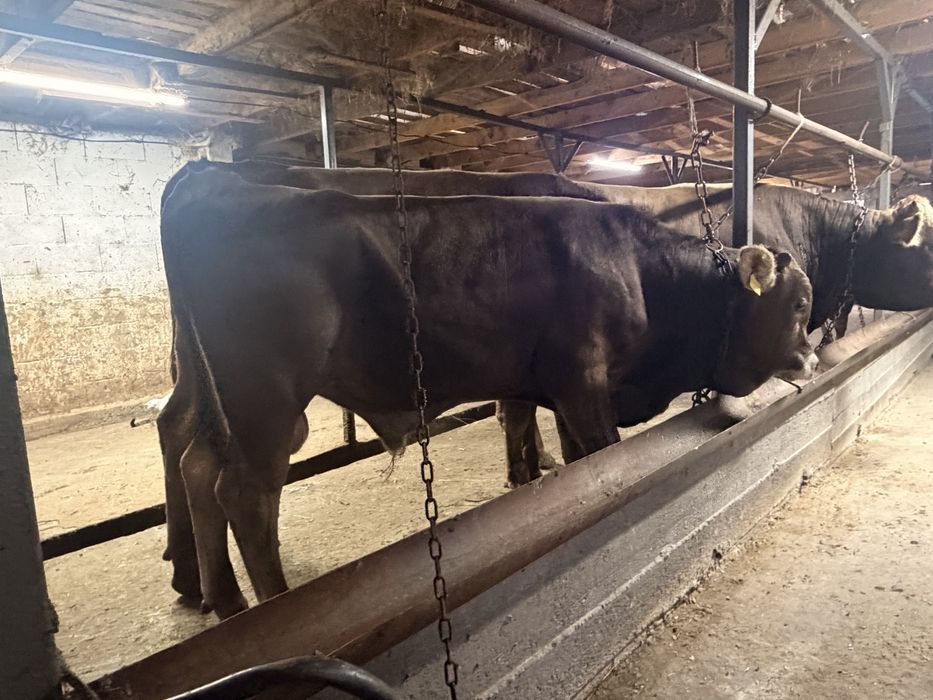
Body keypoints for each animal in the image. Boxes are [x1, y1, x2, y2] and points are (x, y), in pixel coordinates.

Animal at [159, 164, 816, 617]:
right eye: (800, 304)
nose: (811, 356)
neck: (639, 269)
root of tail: (211, 180)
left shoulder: (559, 390)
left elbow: (568, 454)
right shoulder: (583, 383)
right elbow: (602, 456)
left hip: (222, 401)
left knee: (197, 466)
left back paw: (224, 600)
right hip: (264, 402)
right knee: (245, 494)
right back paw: (271, 604)